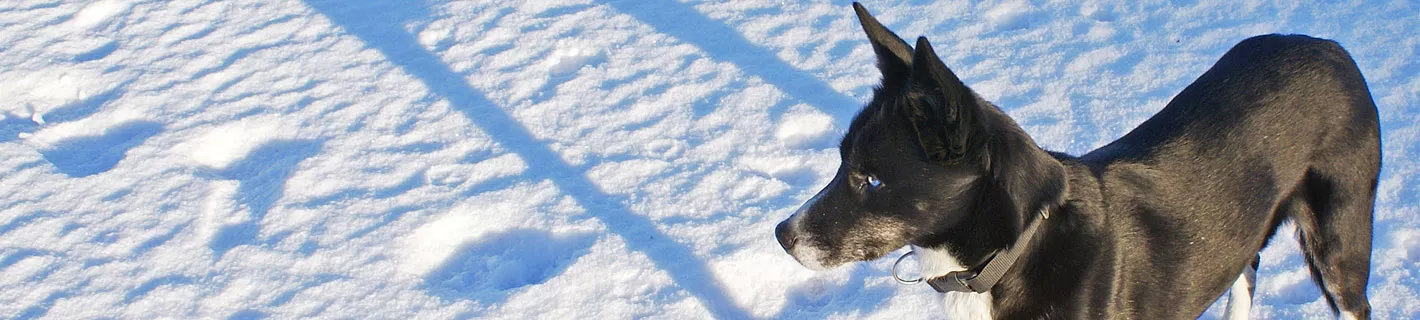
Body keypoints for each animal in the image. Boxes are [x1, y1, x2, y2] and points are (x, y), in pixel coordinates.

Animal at [772, 3, 1380, 320]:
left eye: (872, 179)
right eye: (840, 162)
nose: (781, 234)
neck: (1012, 252)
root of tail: (1333, 48)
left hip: (1339, 247)